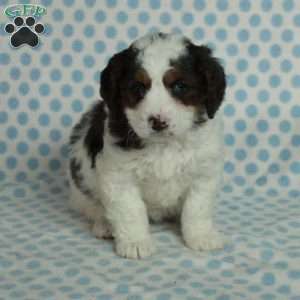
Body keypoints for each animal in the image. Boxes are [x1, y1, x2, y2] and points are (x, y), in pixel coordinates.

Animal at [68, 31, 226, 258]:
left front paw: (201, 236)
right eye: (138, 88)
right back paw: (105, 225)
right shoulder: (119, 175)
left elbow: (197, 208)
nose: (158, 122)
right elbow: (130, 210)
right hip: (82, 186)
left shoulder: (203, 172)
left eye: (180, 86)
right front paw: (135, 242)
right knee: (94, 207)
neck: (164, 145)